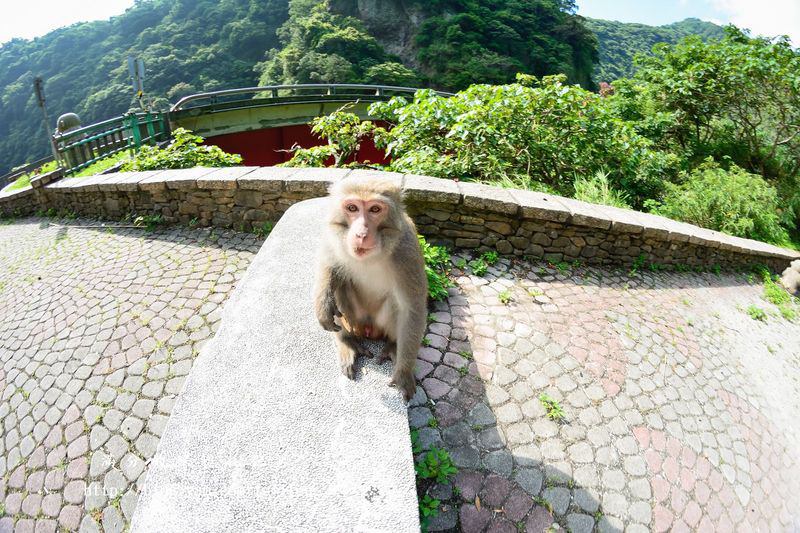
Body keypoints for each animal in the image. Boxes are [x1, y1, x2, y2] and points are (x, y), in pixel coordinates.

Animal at [314, 175, 432, 400]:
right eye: (352, 208)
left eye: (375, 209)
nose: (361, 234)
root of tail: (368, 330)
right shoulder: (334, 235)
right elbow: (329, 264)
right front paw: (323, 304)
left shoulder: (407, 250)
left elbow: (412, 308)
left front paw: (403, 373)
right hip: (354, 319)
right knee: (340, 285)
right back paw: (347, 342)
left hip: (380, 324)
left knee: (397, 306)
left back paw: (393, 346)